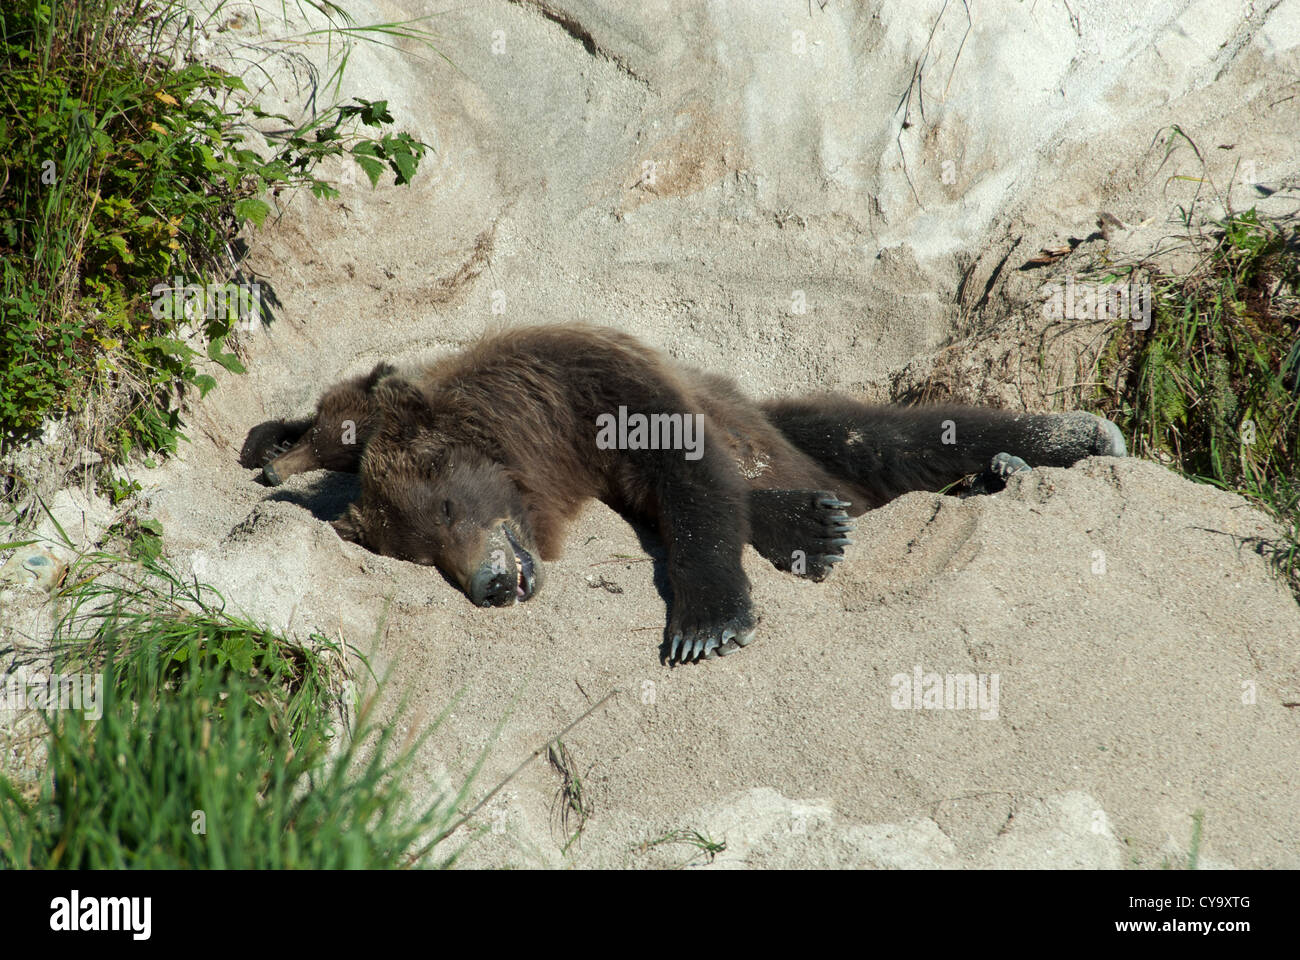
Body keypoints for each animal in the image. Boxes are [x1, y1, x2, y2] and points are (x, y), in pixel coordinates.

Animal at [244, 325, 1128, 660]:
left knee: (889, 436)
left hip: (787, 417)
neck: (545, 446)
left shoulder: (596, 388)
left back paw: (1066, 440)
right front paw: (809, 529)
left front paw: (706, 623)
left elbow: (691, 480)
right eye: (423, 554)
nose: (491, 584)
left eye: (451, 509)